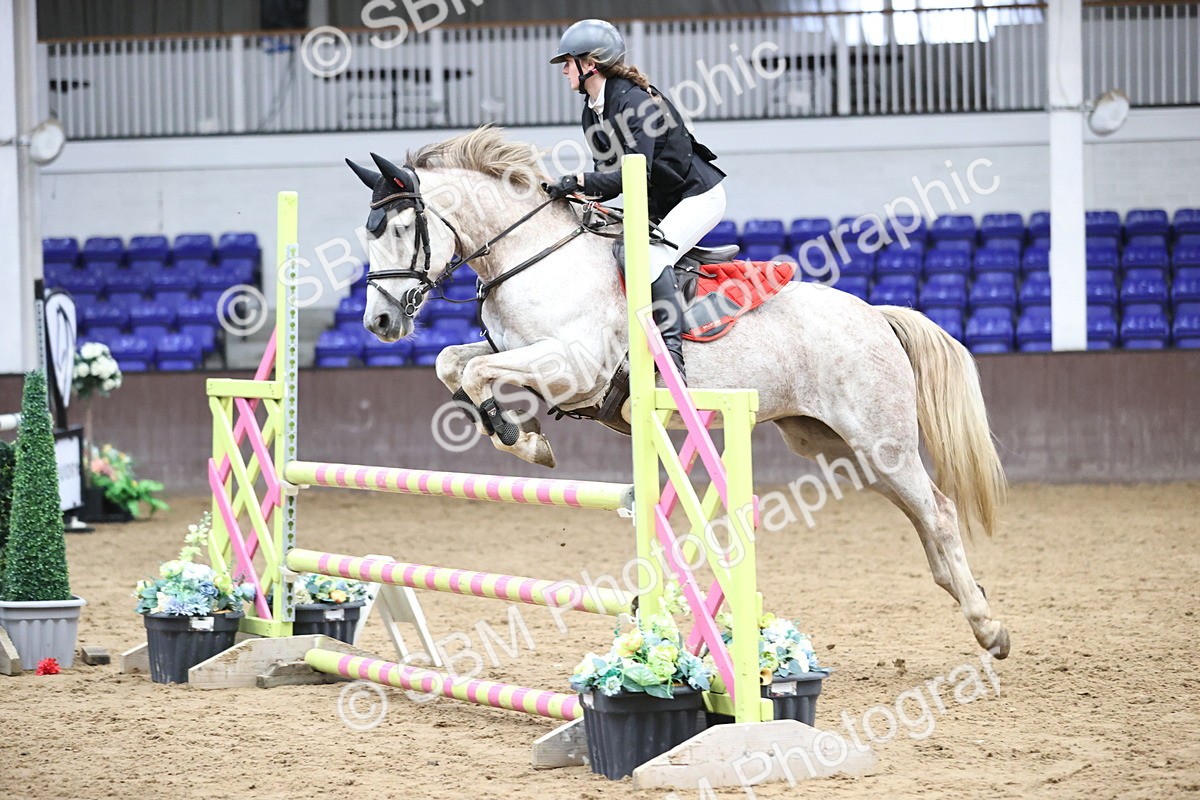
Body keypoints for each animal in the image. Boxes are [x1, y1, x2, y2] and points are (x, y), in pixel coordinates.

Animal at [346, 126, 1011, 659]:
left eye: (402, 228)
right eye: (367, 232)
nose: (379, 322)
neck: (532, 256)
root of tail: (876, 314)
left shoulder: (575, 367)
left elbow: (478, 374)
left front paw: (523, 439)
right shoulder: (521, 354)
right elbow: (453, 364)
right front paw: (521, 432)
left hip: (880, 437)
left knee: (938, 510)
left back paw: (988, 627)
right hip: (839, 448)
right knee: (919, 511)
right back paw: (966, 596)